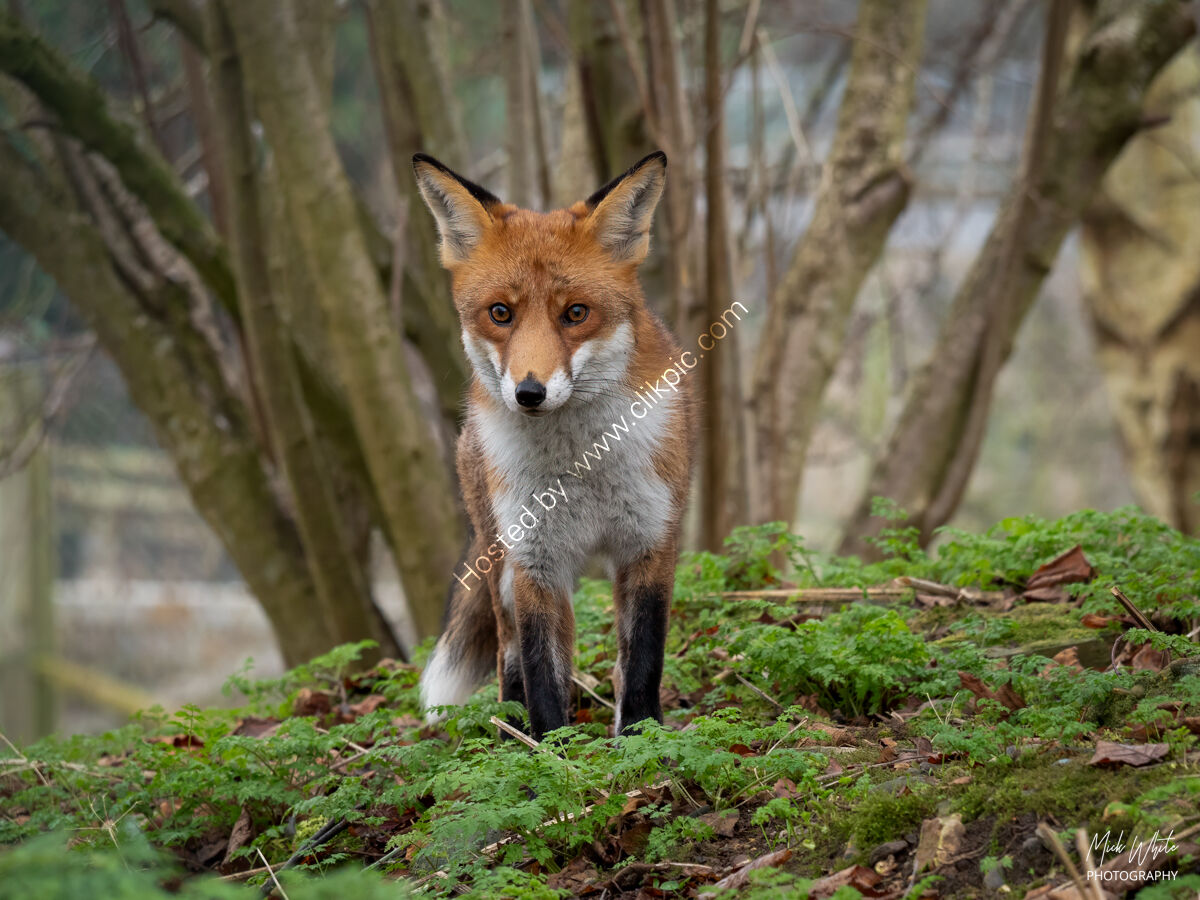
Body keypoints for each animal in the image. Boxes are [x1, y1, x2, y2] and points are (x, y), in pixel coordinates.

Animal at [412, 150, 698, 740]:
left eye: (576, 313)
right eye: (500, 313)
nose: (529, 393)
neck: (581, 467)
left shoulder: (650, 543)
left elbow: (642, 660)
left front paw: (642, 739)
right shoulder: (536, 560)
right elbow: (544, 672)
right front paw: (549, 751)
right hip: (498, 564)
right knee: (508, 653)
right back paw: (510, 734)